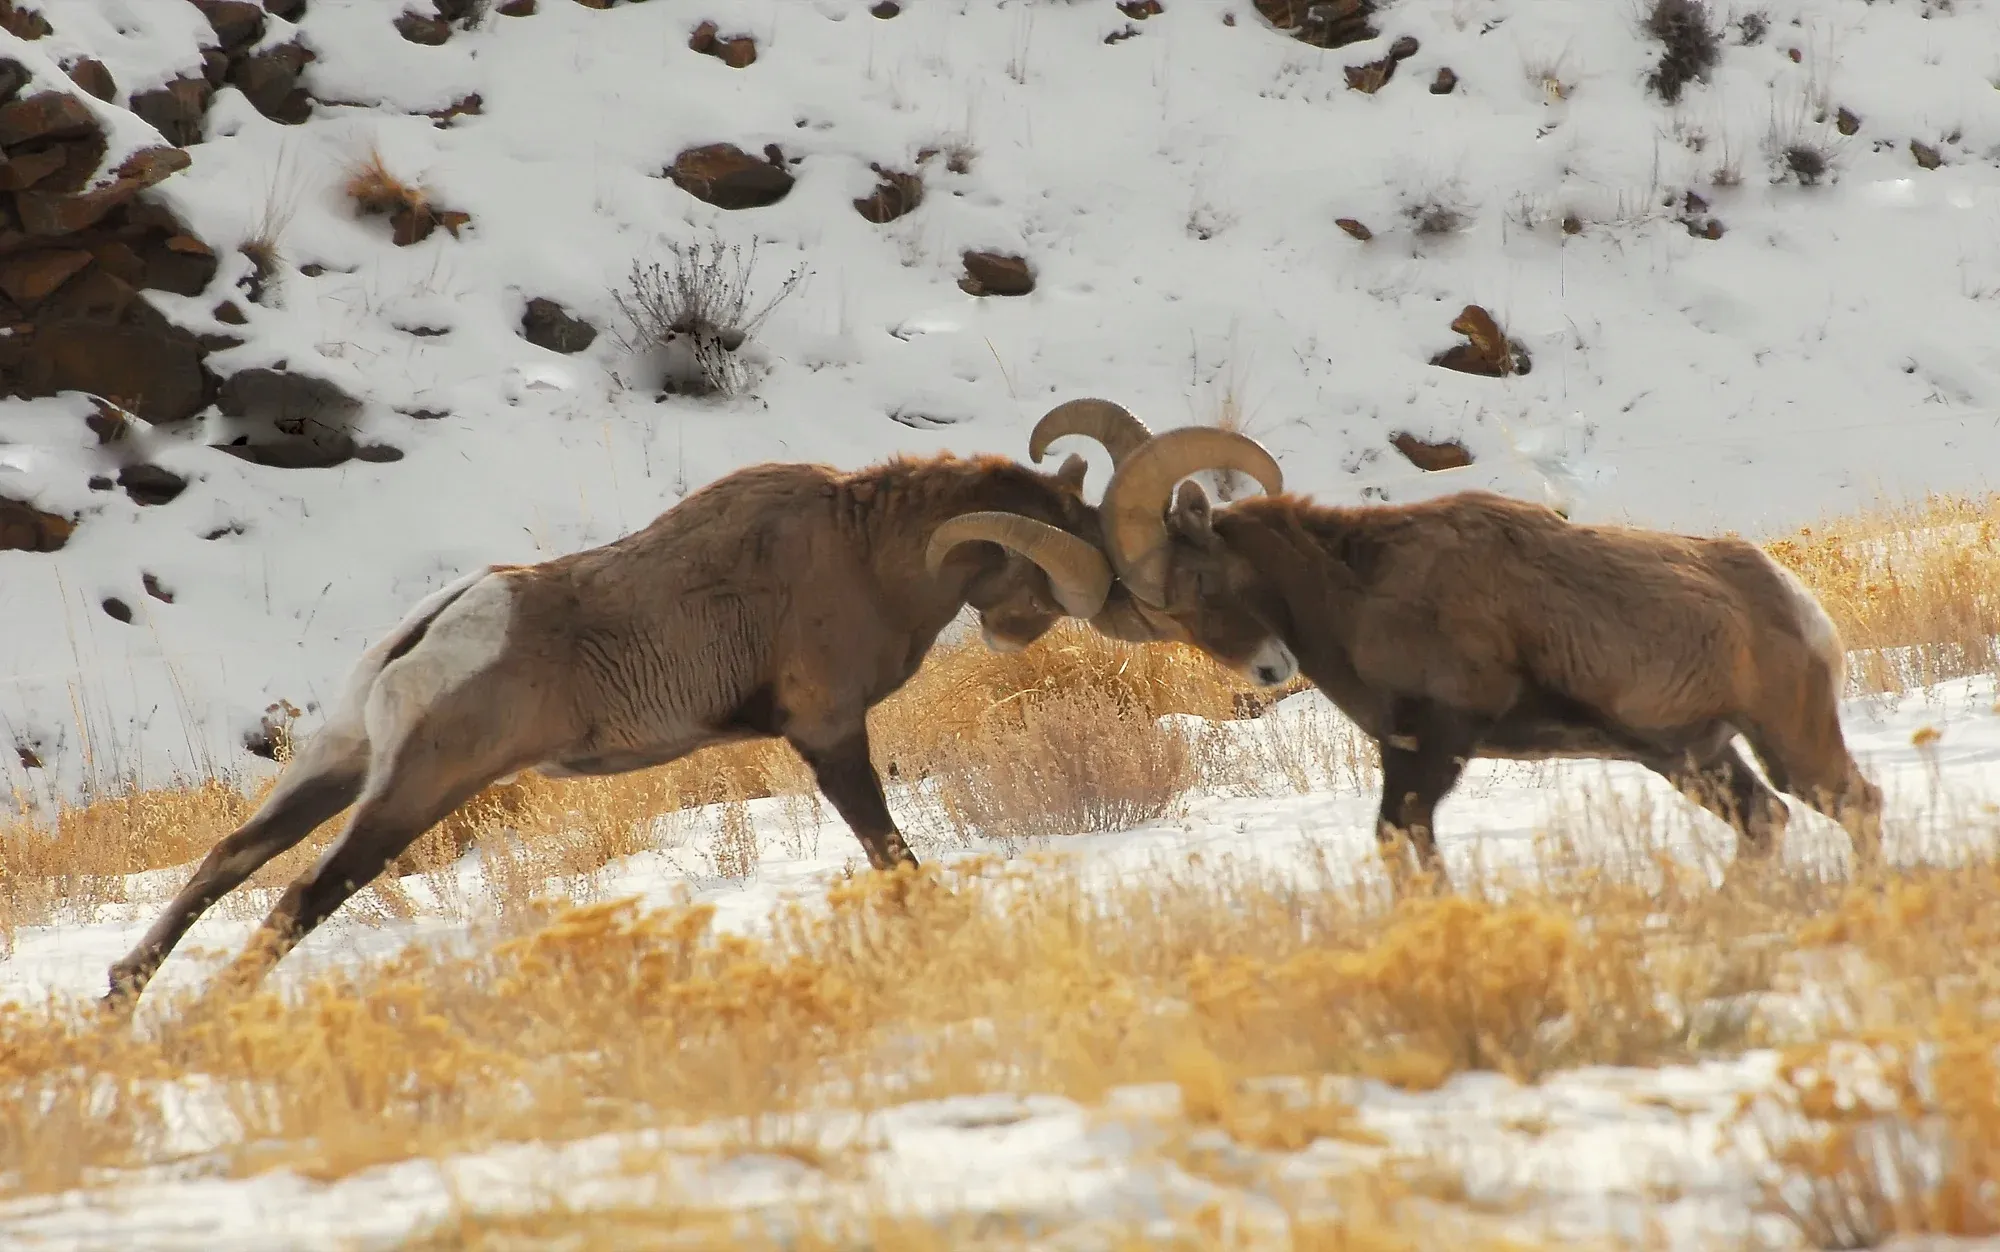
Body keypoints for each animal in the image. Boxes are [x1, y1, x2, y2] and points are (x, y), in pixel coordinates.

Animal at [102, 450, 1117, 1011]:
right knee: (304, 892)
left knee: (229, 858)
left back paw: (120, 1003)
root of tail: (430, 632)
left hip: (343, 767)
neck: (865, 555)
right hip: (416, 790)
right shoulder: (829, 734)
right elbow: (892, 855)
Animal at [1031, 400, 1883, 888]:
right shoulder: (1403, 753)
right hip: (1692, 757)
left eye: (1202, 584)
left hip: (1784, 742)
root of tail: (1793, 602)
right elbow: (1401, 846)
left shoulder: (1441, 743)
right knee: (1767, 823)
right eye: (1168, 616)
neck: (1358, 591)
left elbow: (1409, 841)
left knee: (1854, 804)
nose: (1269, 669)